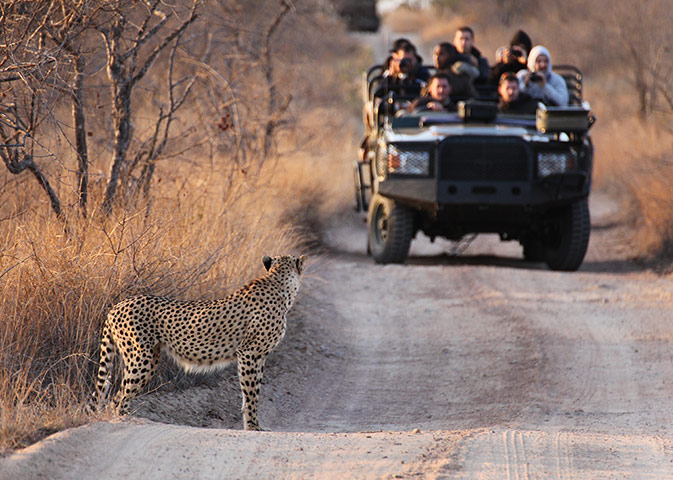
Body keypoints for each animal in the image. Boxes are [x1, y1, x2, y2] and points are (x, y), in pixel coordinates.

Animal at [93, 254, 307, 431]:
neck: (279, 284)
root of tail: (117, 305)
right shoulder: (249, 353)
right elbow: (251, 392)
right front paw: (253, 426)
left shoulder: (260, 355)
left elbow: (254, 391)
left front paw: (254, 424)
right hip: (141, 359)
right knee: (119, 397)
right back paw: (126, 421)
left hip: (150, 357)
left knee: (117, 396)